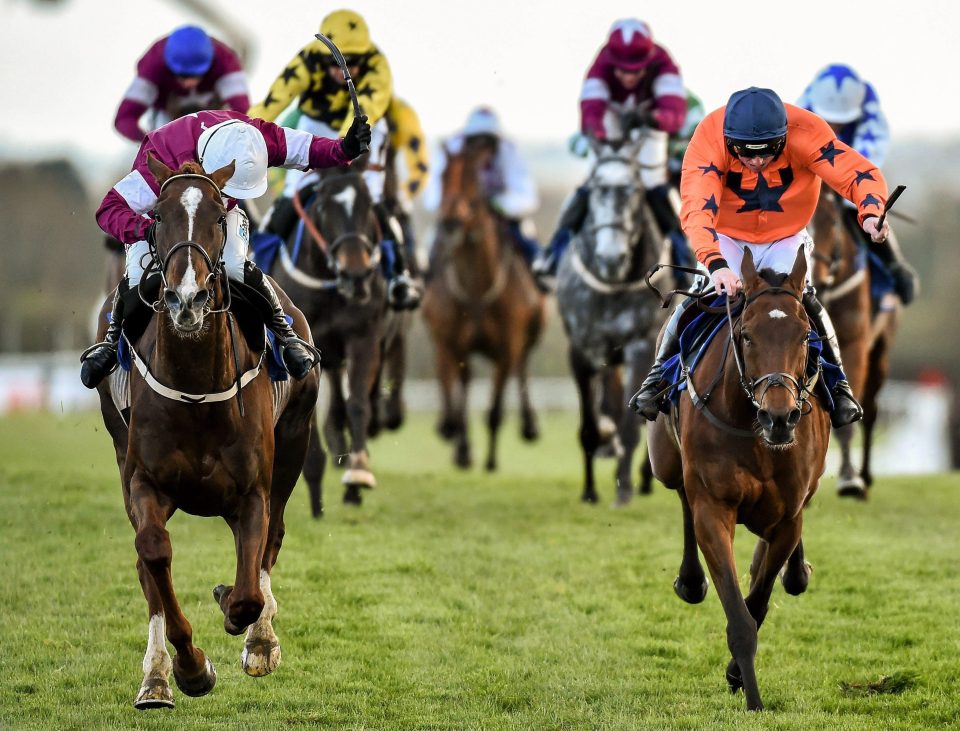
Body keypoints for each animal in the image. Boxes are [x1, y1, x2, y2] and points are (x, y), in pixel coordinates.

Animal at [94, 156, 320, 708]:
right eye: (157, 216)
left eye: (220, 217)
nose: (187, 299)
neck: (196, 386)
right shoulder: (143, 482)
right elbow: (154, 554)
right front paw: (189, 668)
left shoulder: (253, 491)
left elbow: (248, 590)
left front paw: (248, 628)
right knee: (147, 563)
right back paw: (156, 677)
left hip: (295, 442)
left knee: (271, 544)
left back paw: (260, 640)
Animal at [422, 137, 548, 468]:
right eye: (443, 176)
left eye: (472, 179)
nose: (451, 222)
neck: (476, 289)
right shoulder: (447, 342)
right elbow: (452, 395)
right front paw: (455, 437)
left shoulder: (507, 346)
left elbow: (495, 410)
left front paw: (490, 461)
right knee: (464, 383)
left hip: (532, 332)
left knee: (523, 366)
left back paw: (528, 425)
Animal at [556, 140, 668, 508]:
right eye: (594, 189)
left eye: (635, 191)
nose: (611, 257)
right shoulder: (582, 348)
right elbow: (590, 426)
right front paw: (589, 490)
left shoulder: (640, 345)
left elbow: (632, 425)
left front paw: (624, 487)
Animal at [644, 249, 832, 712]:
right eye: (746, 335)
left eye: (805, 336)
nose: (780, 417)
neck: (754, 430)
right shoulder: (713, 508)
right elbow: (739, 616)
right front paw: (752, 697)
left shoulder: (788, 518)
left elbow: (758, 600)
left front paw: (738, 677)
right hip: (665, 461)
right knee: (681, 497)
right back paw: (691, 580)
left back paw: (796, 571)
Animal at [812, 186, 896, 500]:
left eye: (833, 222)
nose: (815, 279)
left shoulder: (854, 344)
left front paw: (850, 478)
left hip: (880, 351)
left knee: (871, 410)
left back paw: (866, 476)